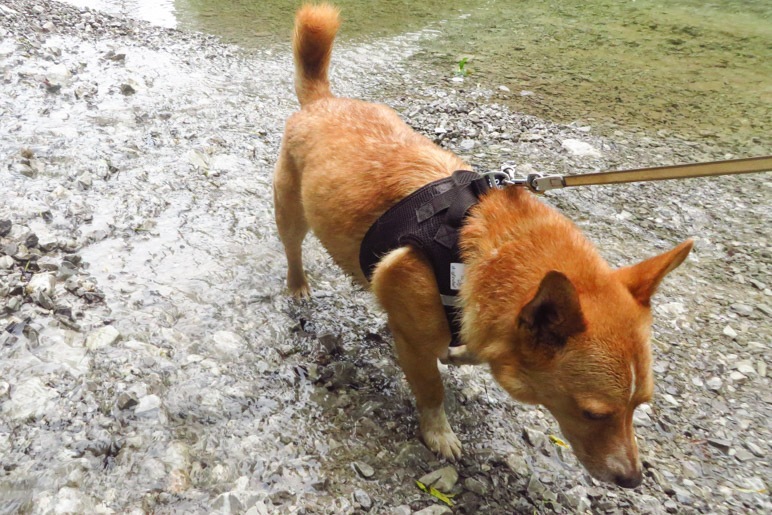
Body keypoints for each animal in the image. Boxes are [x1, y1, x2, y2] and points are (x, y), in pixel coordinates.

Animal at [272, 4, 692, 490]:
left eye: (640, 406)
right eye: (594, 413)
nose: (634, 480)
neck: (489, 254)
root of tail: (323, 101)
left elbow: (466, 349)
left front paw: (460, 353)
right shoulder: (412, 338)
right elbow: (431, 389)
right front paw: (438, 433)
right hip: (290, 213)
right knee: (292, 249)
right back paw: (298, 285)